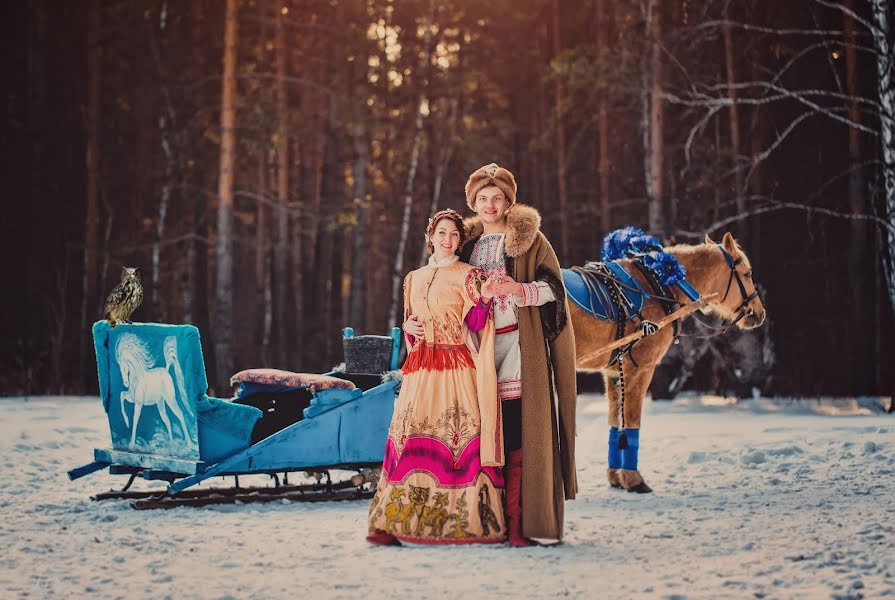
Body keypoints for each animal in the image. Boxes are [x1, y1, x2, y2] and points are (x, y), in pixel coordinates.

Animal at [572, 230, 768, 492]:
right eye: (746, 273)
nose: (759, 313)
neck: (659, 286)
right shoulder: (641, 368)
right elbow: (631, 420)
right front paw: (633, 479)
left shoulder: (613, 372)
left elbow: (615, 422)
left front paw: (615, 477)